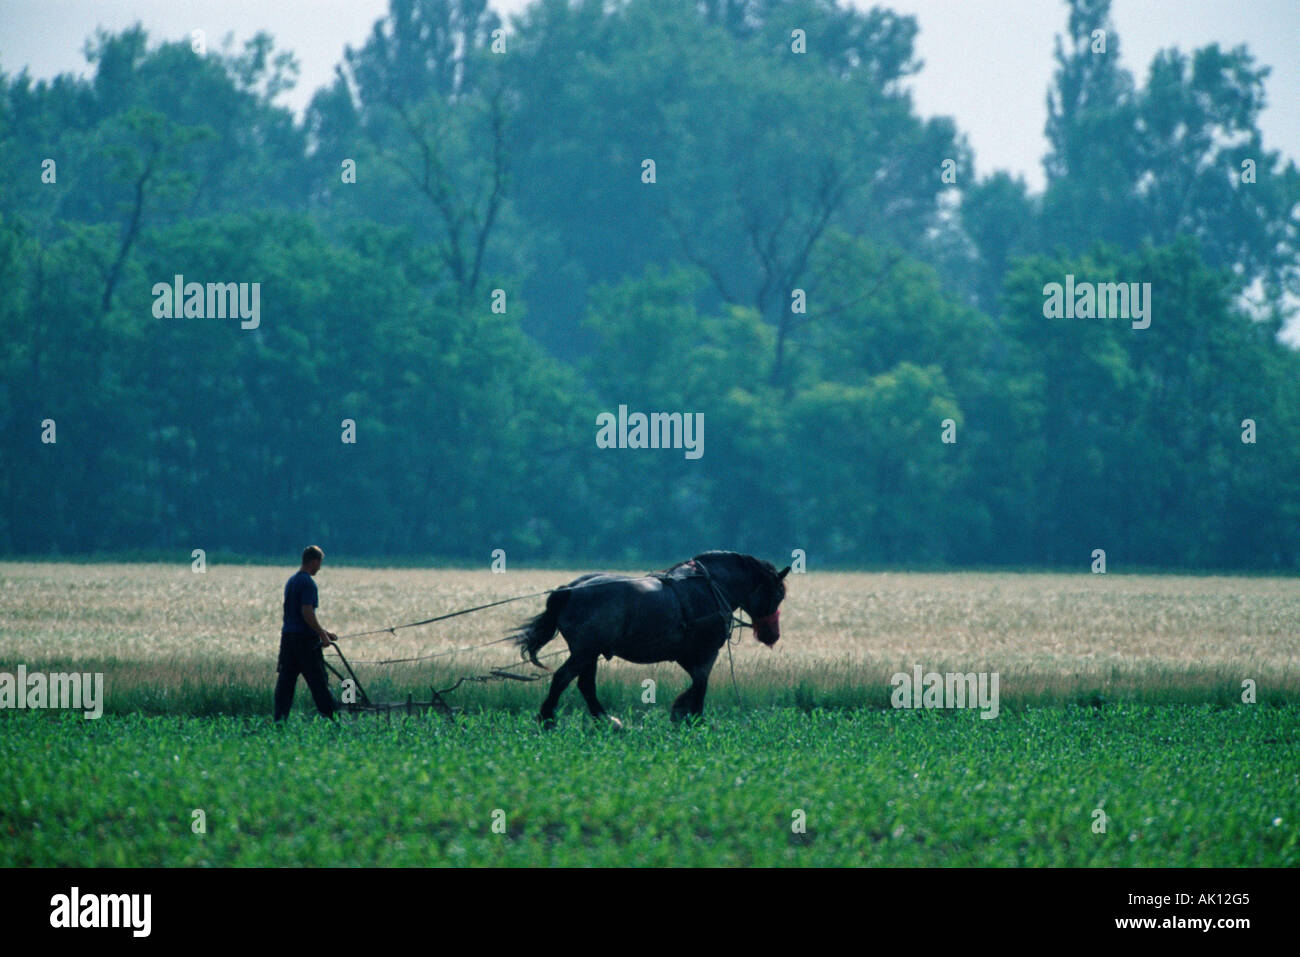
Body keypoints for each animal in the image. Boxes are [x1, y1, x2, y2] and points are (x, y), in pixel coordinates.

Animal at [512, 553, 785, 722]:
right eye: (778, 594)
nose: (772, 635)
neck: (708, 586)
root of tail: (570, 589)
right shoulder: (706, 651)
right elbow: (701, 684)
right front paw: (693, 718)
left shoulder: (687, 654)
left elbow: (696, 682)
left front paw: (680, 712)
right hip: (585, 651)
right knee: (563, 678)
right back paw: (547, 720)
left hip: (589, 652)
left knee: (585, 685)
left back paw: (605, 721)